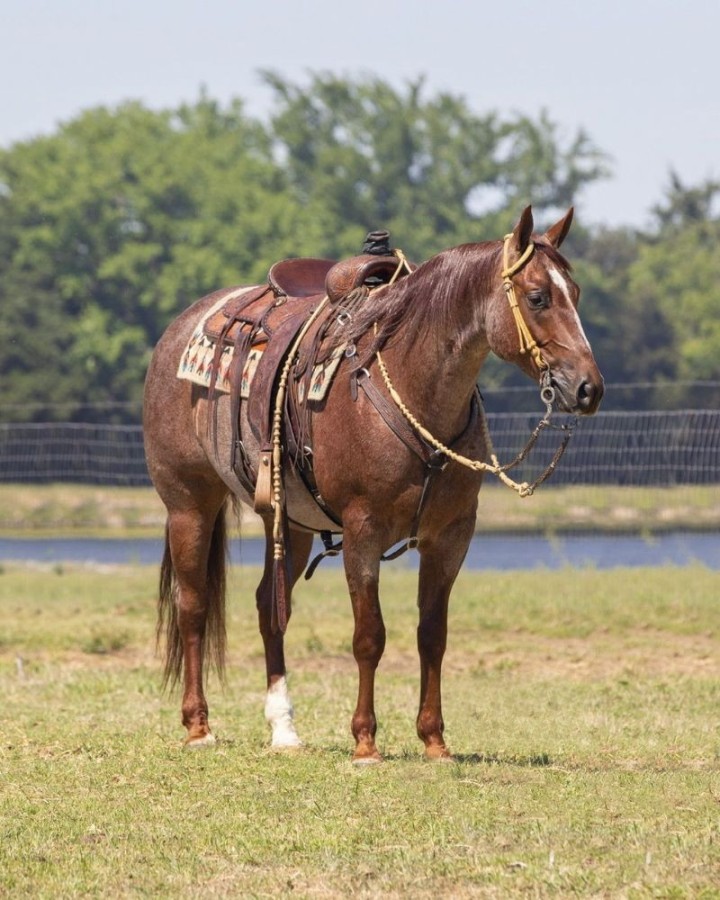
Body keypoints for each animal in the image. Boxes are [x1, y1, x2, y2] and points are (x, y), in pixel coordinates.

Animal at [143, 206, 603, 763]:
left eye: (575, 292)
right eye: (538, 297)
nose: (588, 388)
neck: (409, 384)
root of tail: (181, 327)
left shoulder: (452, 535)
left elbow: (433, 634)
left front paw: (434, 739)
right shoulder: (363, 529)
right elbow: (370, 636)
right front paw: (365, 741)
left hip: (290, 523)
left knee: (269, 608)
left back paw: (283, 729)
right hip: (189, 504)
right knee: (193, 606)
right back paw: (198, 726)